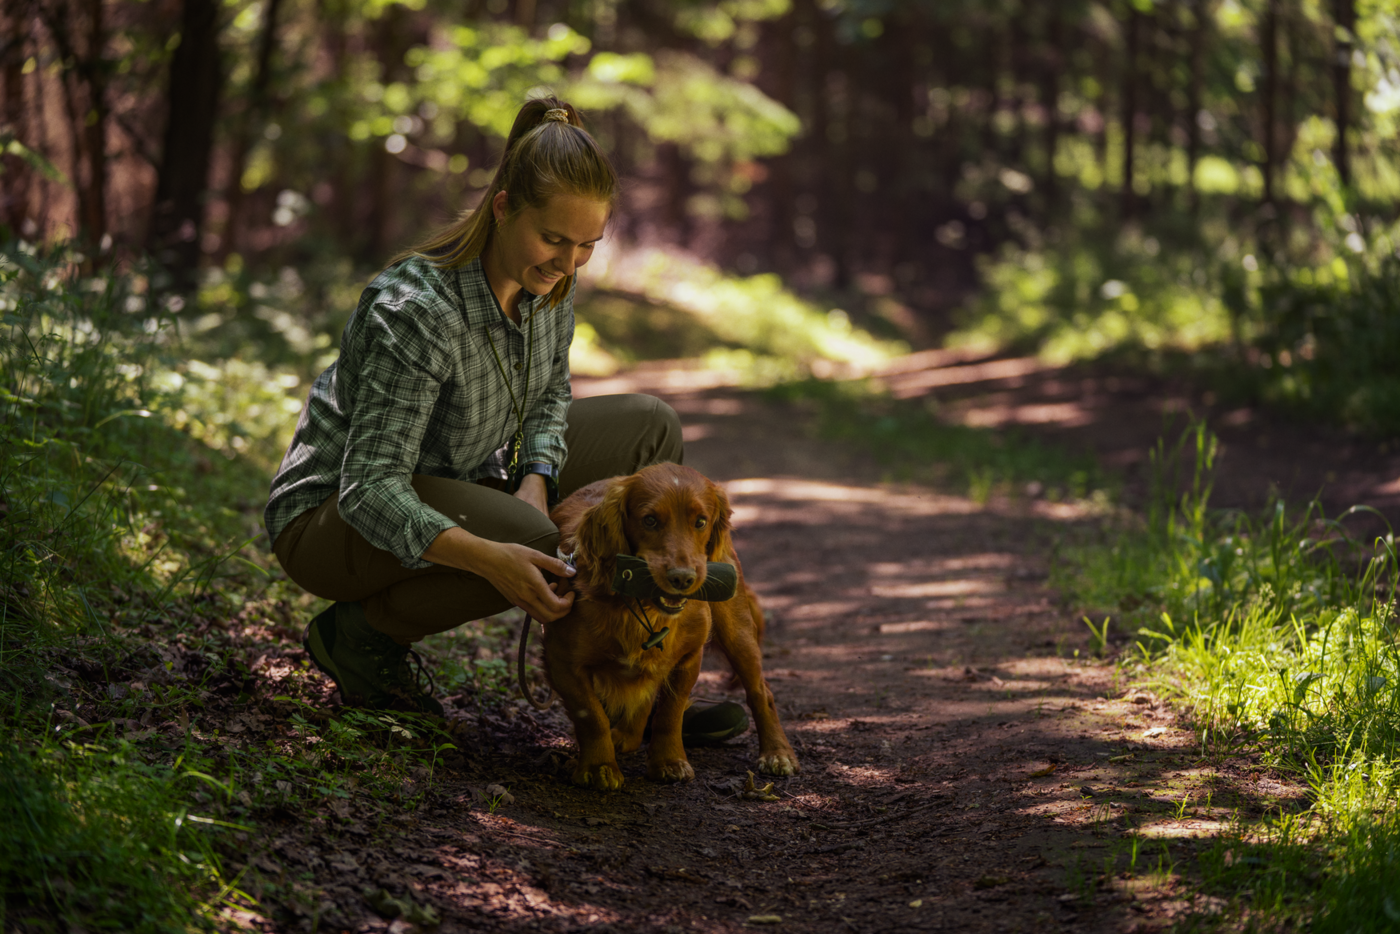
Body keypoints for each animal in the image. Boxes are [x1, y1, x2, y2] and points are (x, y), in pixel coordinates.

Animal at [537, 459, 800, 789]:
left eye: (700, 522)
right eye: (649, 520)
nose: (682, 578)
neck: (644, 608)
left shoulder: (688, 657)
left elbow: (669, 714)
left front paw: (668, 761)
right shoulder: (563, 662)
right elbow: (592, 716)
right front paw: (600, 766)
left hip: (737, 634)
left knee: (760, 691)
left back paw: (777, 753)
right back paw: (625, 738)